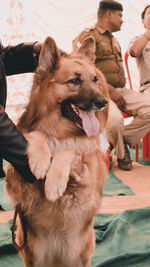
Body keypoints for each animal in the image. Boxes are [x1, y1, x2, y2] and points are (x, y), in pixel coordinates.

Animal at [5, 36, 109, 267]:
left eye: (95, 79)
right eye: (75, 80)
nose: (103, 102)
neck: (61, 133)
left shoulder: (85, 187)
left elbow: (68, 151)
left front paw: (54, 183)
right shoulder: (17, 182)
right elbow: (35, 135)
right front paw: (40, 161)